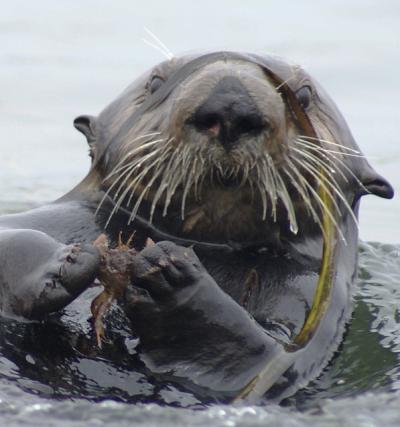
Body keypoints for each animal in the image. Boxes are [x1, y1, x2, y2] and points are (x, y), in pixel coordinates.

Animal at [0, 52, 394, 404]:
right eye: (156, 83)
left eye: (305, 96)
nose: (231, 105)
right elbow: (14, 239)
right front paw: (66, 261)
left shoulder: (306, 296)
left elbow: (266, 357)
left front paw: (168, 272)